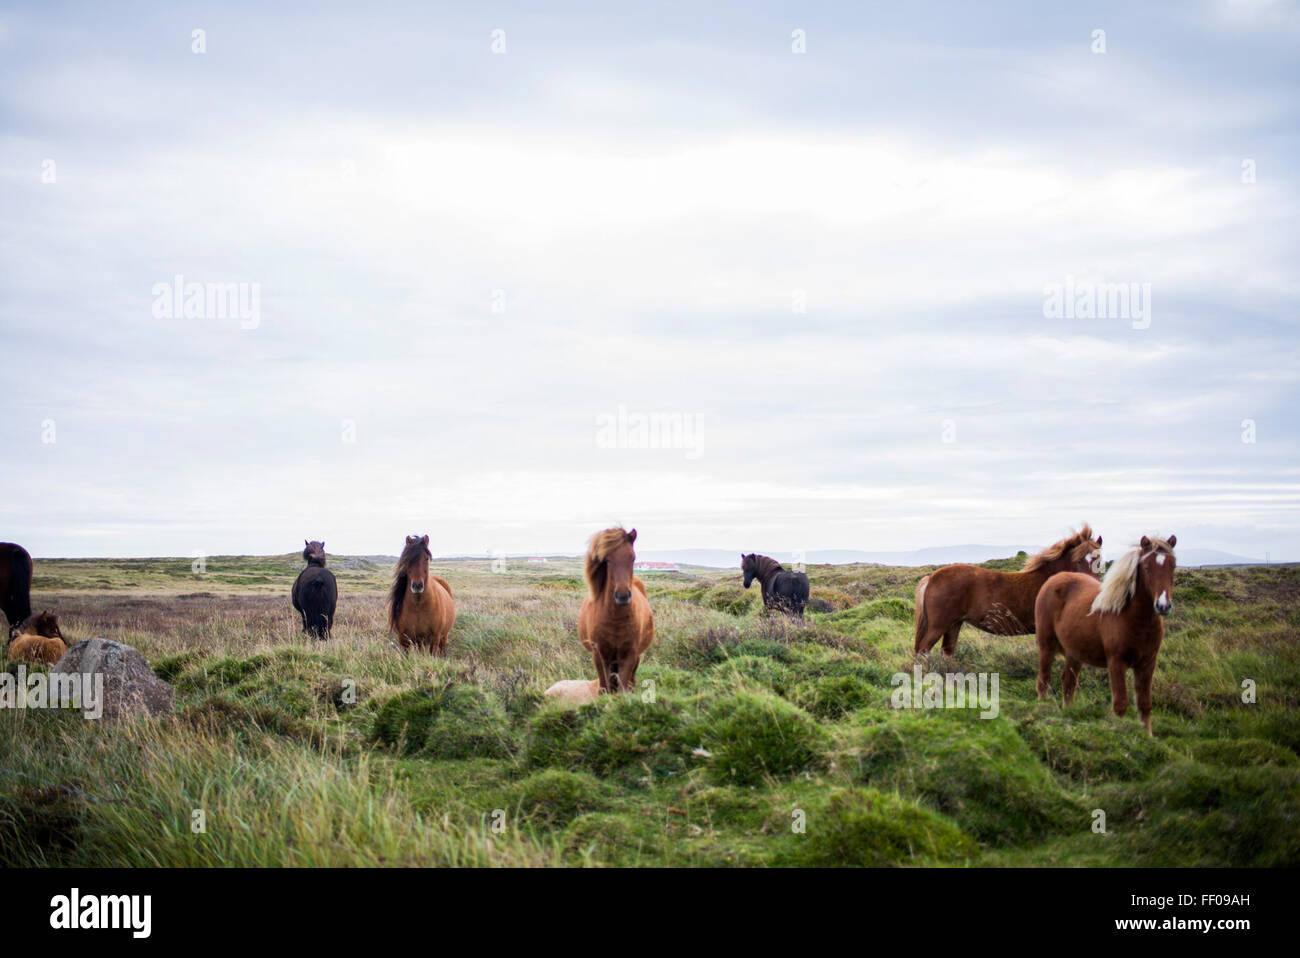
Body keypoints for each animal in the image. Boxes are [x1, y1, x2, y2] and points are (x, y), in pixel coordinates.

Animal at [579, 527, 655, 691]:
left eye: (632, 558)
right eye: (607, 560)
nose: (622, 595)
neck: (615, 620)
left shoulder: (629, 656)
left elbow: (622, 688)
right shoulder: (600, 656)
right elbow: (605, 688)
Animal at [909, 522, 1102, 657]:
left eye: (1099, 560)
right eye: (1078, 560)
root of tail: (931, 578)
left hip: (954, 624)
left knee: (946, 652)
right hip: (938, 626)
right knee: (923, 650)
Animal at [1034, 530, 1180, 733]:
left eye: (1172, 566)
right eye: (1147, 567)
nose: (1163, 606)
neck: (1134, 619)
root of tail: (1054, 579)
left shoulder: (1147, 664)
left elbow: (1145, 704)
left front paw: (1147, 736)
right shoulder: (1116, 663)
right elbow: (1120, 704)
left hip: (1074, 653)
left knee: (1068, 682)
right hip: (1046, 645)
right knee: (1044, 679)